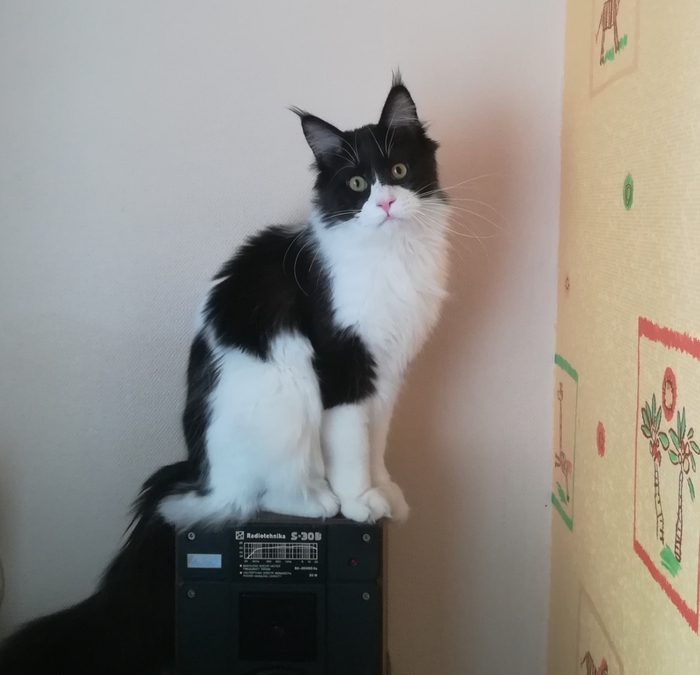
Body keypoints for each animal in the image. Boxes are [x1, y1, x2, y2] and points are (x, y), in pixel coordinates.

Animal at [0, 74, 450, 674]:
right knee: (253, 494)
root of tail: (195, 469)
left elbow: (374, 444)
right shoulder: (342, 366)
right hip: (288, 389)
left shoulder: (384, 374)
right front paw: (358, 503)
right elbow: (352, 445)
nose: (385, 202)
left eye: (398, 171)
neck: (391, 253)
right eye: (356, 183)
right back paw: (318, 500)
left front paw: (384, 495)